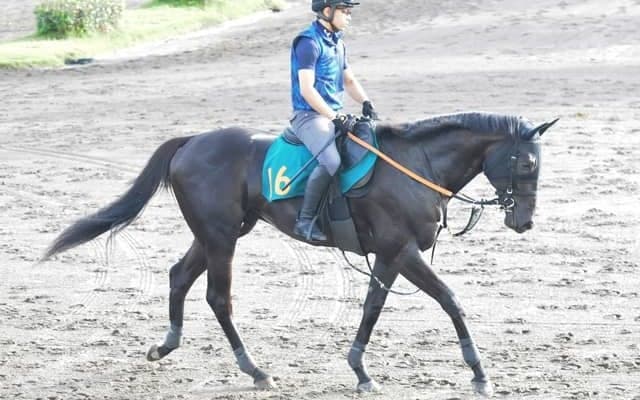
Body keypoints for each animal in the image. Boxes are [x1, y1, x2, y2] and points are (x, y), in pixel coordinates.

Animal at [42, 112, 557, 397]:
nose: (524, 222)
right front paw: (479, 374)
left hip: (217, 234)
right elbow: (451, 301)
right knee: (217, 298)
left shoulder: (388, 257)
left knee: (178, 277)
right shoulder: (401, 251)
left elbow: (372, 307)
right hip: (222, 238)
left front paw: (360, 370)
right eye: (528, 162)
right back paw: (254, 370)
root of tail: (192, 141)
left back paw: (166, 344)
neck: (414, 166)